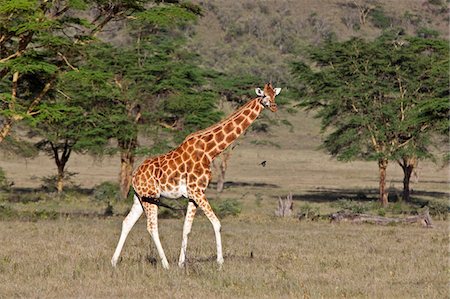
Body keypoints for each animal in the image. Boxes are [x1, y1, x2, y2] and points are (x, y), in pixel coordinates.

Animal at [111, 82, 282, 270]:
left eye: (274, 95)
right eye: (264, 95)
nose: (274, 107)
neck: (210, 152)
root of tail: (134, 175)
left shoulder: (193, 195)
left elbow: (187, 228)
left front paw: (181, 263)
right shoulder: (198, 191)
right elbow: (217, 223)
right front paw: (220, 262)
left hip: (140, 197)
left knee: (127, 222)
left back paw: (113, 262)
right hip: (151, 196)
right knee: (152, 227)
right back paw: (165, 264)